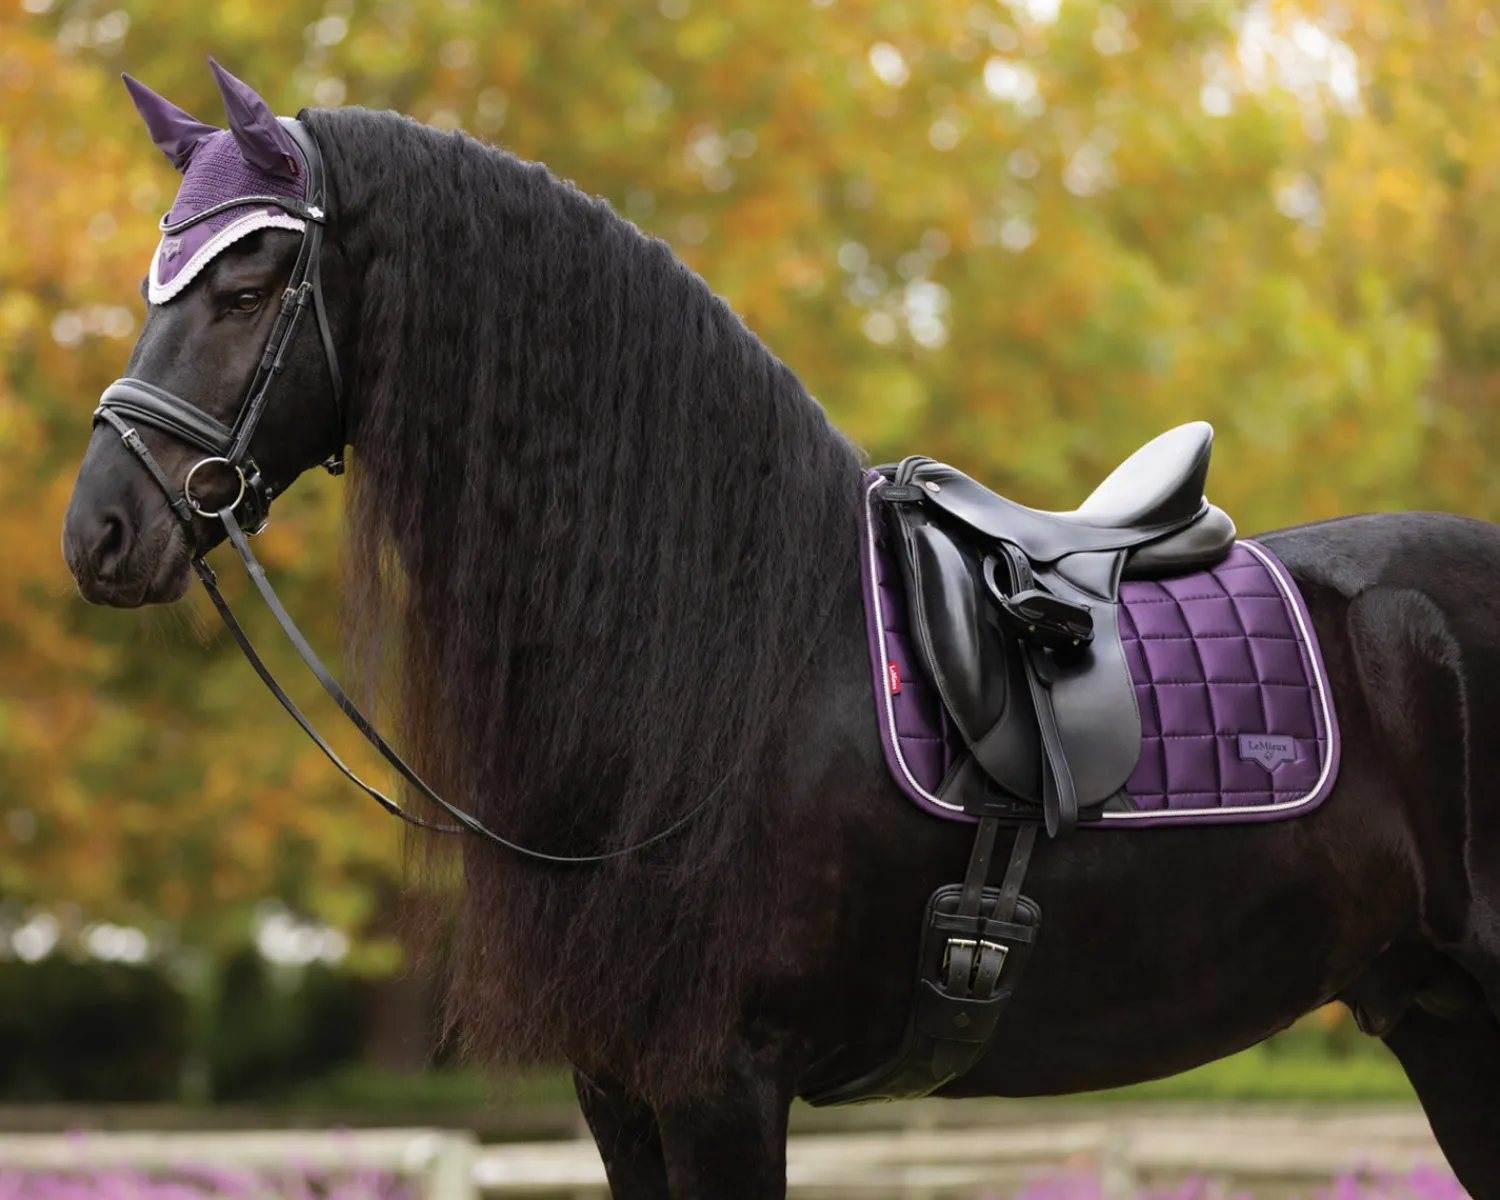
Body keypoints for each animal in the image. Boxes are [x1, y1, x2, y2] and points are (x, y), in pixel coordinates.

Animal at [59, 65, 1500, 1198]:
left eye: (251, 279)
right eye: (158, 274)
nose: (99, 533)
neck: (714, 650)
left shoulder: (721, 1083)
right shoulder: (620, 1089)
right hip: (1438, 1017)